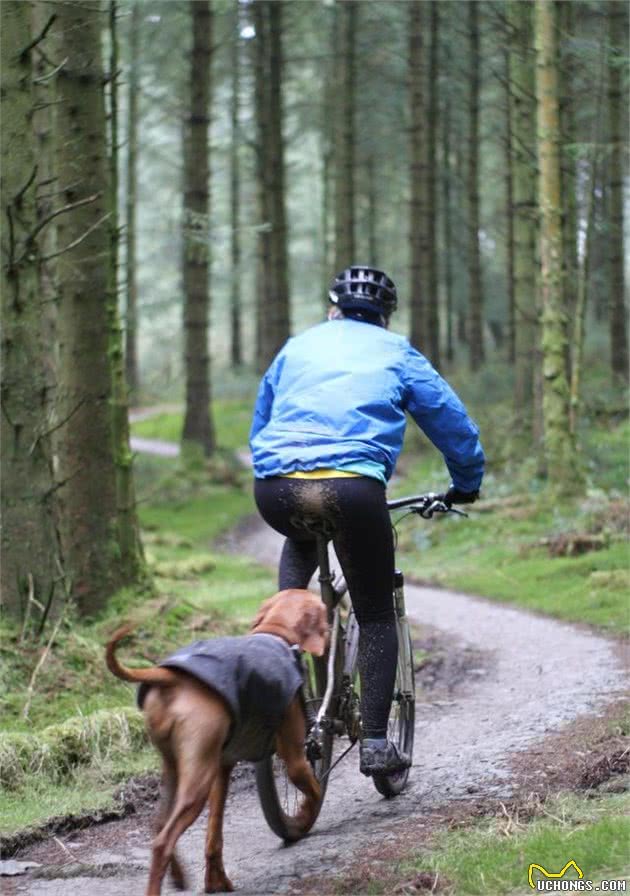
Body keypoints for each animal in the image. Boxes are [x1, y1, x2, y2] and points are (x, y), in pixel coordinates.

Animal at [105, 588, 328, 896]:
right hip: (196, 781)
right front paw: (305, 815)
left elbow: (214, 834)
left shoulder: (222, 769)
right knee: (162, 841)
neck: (275, 633)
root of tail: (170, 676)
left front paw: (215, 881)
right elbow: (315, 792)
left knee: (159, 824)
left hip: (178, 768)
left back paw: (179, 876)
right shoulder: (294, 758)